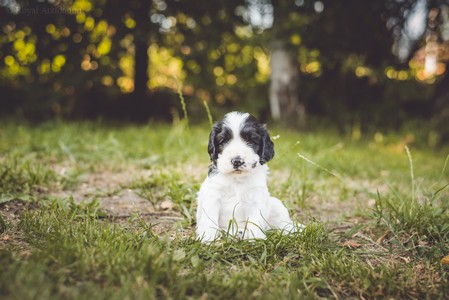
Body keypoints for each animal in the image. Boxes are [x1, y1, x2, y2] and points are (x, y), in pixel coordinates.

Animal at [196, 111, 300, 243]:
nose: (237, 161)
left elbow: (256, 221)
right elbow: (210, 220)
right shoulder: (213, 197)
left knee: (284, 224)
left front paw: (257, 240)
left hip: (276, 204)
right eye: (223, 141)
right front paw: (208, 239)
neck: (237, 180)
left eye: (251, 141)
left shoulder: (256, 199)